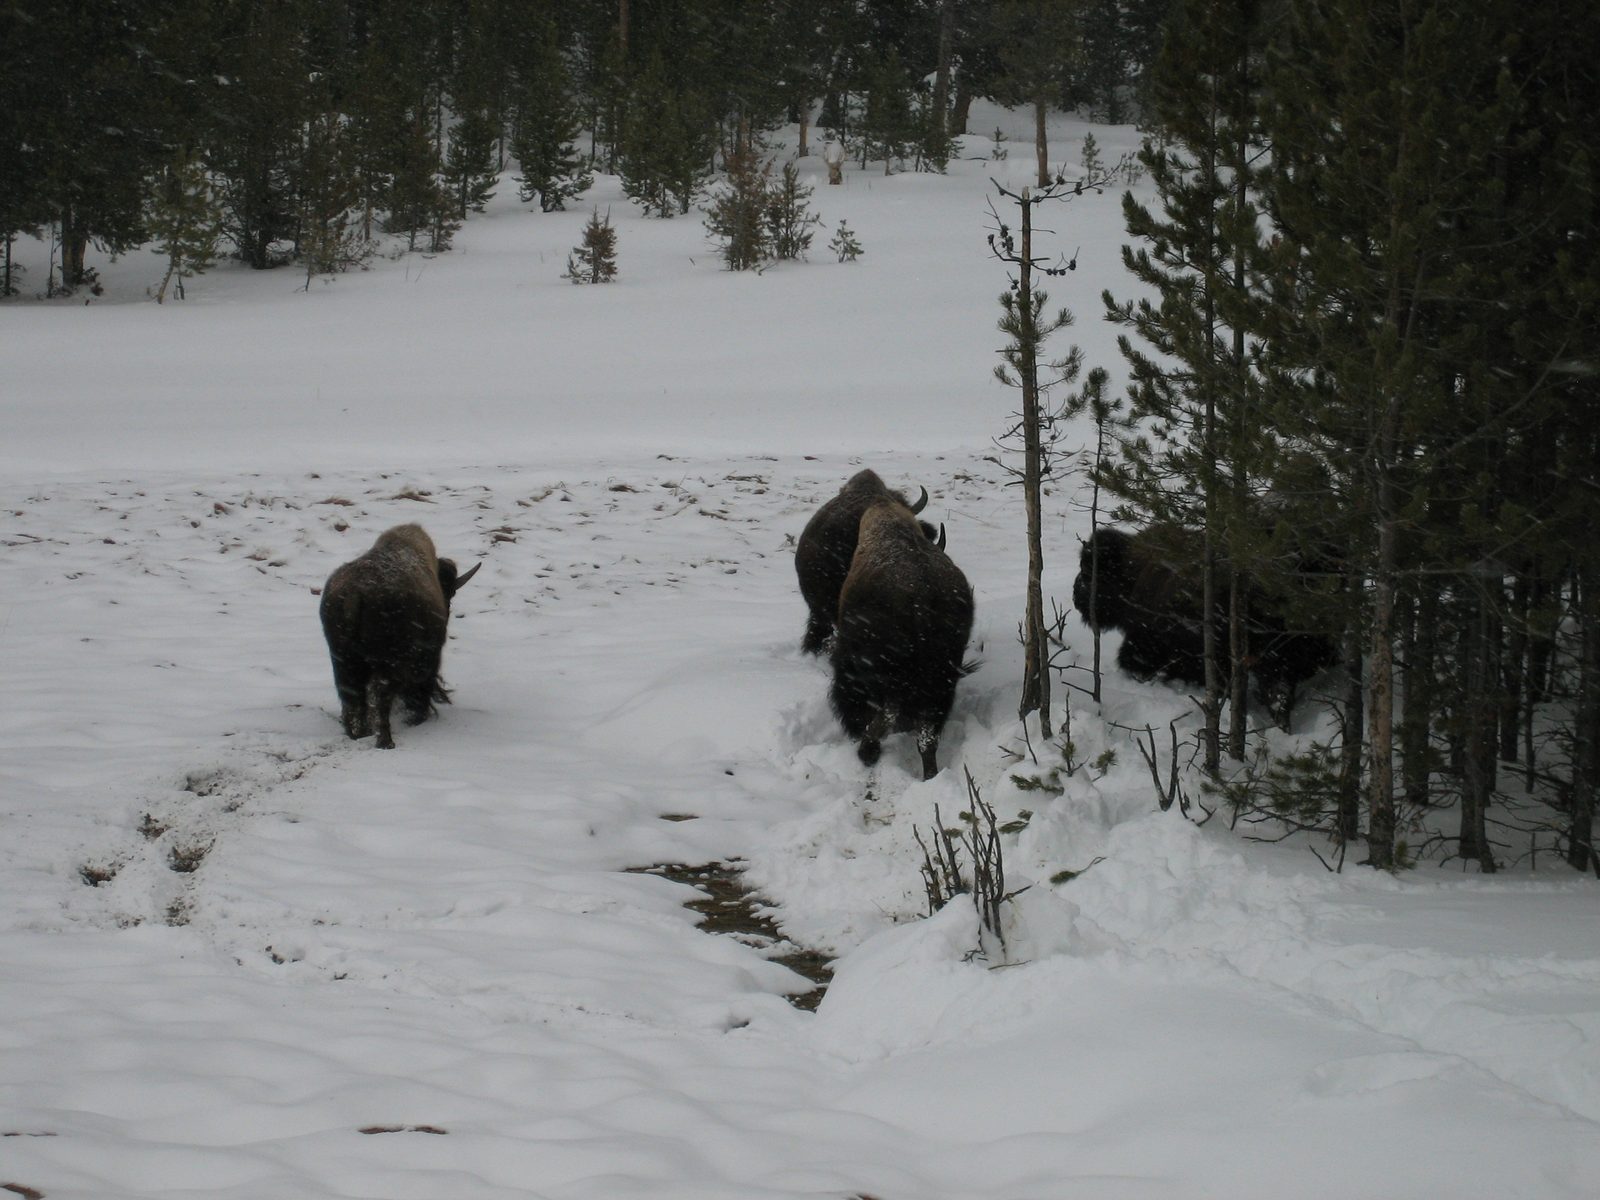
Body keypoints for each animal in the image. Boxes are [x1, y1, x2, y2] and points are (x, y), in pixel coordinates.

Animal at [319, 523, 480, 748]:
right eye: (449, 594)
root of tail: (354, 595)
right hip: (387, 664)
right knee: (381, 696)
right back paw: (386, 741)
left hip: (343, 662)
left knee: (352, 697)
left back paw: (359, 734)